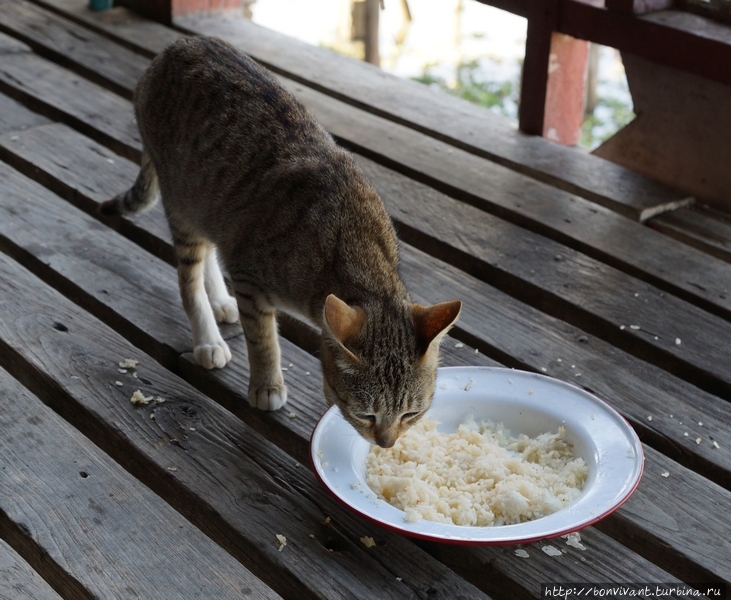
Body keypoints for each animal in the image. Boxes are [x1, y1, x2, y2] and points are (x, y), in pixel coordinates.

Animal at [101, 37, 460, 448]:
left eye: (411, 414)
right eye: (366, 414)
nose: (386, 443)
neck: (353, 246)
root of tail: (177, 45)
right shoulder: (250, 278)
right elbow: (262, 340)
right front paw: (267, 385)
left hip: (210, 206)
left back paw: (220, 300)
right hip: (183, 204)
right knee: (189, 279)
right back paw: (208, 336)